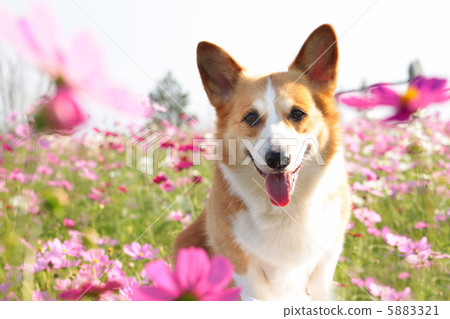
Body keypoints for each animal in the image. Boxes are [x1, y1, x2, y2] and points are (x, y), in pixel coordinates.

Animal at [173, 24, 352, 300]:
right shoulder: (245, 273)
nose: (278, 159)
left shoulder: (323, 268)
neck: (284, 211)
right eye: (251, 117)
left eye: (297, 113)